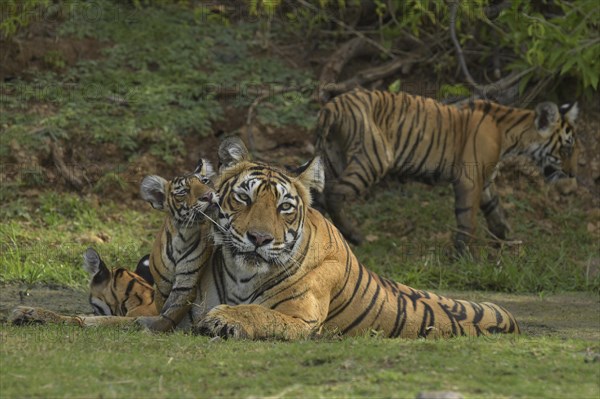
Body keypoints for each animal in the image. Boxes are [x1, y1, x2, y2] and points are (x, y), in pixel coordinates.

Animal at [195, 138, 516, 340]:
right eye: (244, 198)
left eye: (284, 207)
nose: (260, 238)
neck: (244, 276)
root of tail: (509, 316)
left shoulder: (301, 318)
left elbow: (259, 313)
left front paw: (224, 319)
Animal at [316, 89, 580, 252]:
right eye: (567, 148)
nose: (573, 174)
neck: (511, 135)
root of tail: (333, 105)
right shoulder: (470, 178)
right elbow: (467, 218)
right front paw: (466, 254)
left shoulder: (485, 181)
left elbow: (495, 212)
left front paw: (504, 242)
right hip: (374, 158)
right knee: (334, 193)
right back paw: (354, 235)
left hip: (333, 159)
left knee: (317, 200)